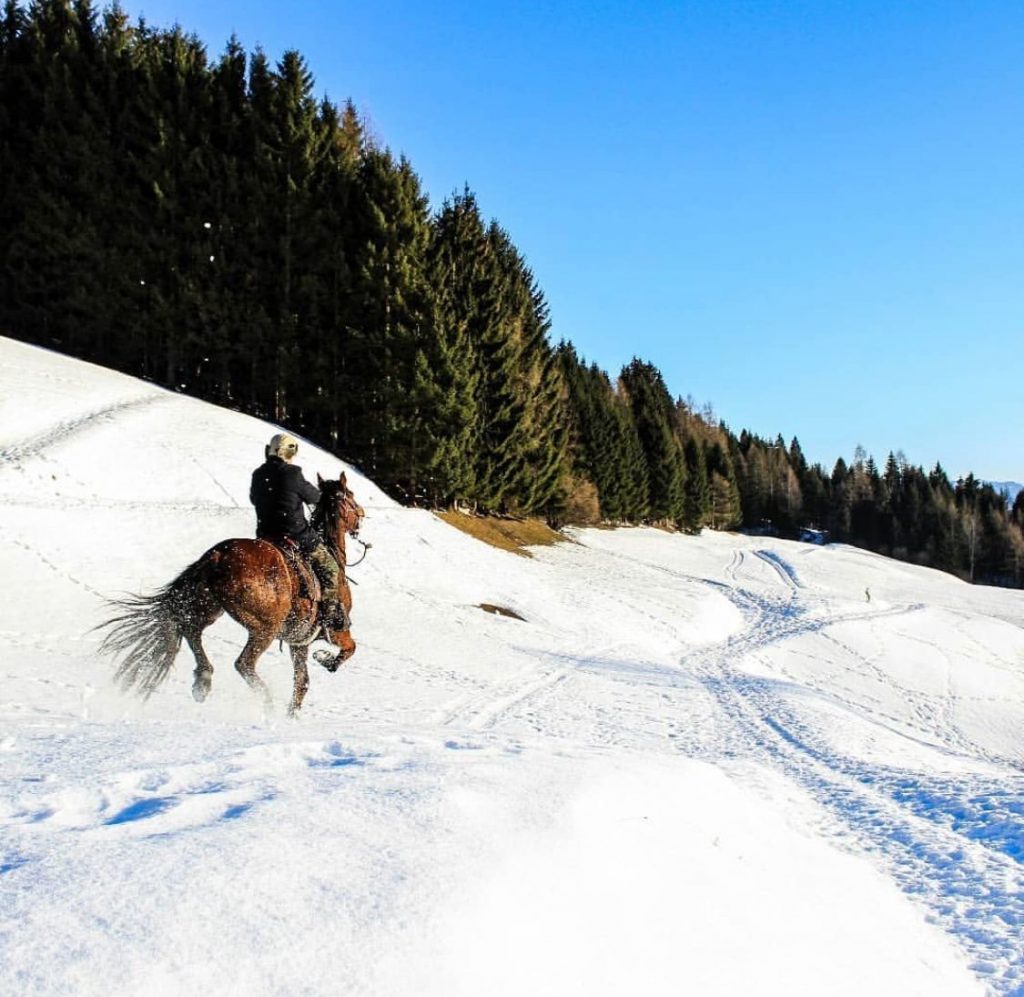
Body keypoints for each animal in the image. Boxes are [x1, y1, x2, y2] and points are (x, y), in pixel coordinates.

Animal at [96, 472, 368, 712]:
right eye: (351, 496)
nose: (362, 515)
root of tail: (218, 555)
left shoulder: (298, 641)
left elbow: (302, 683)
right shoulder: (336, 631)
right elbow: (349, 649)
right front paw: (325, 658)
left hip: (209, 607)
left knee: (191, 630)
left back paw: (203, 681)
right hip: (264, 628)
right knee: (243, 663)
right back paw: (264, 701)